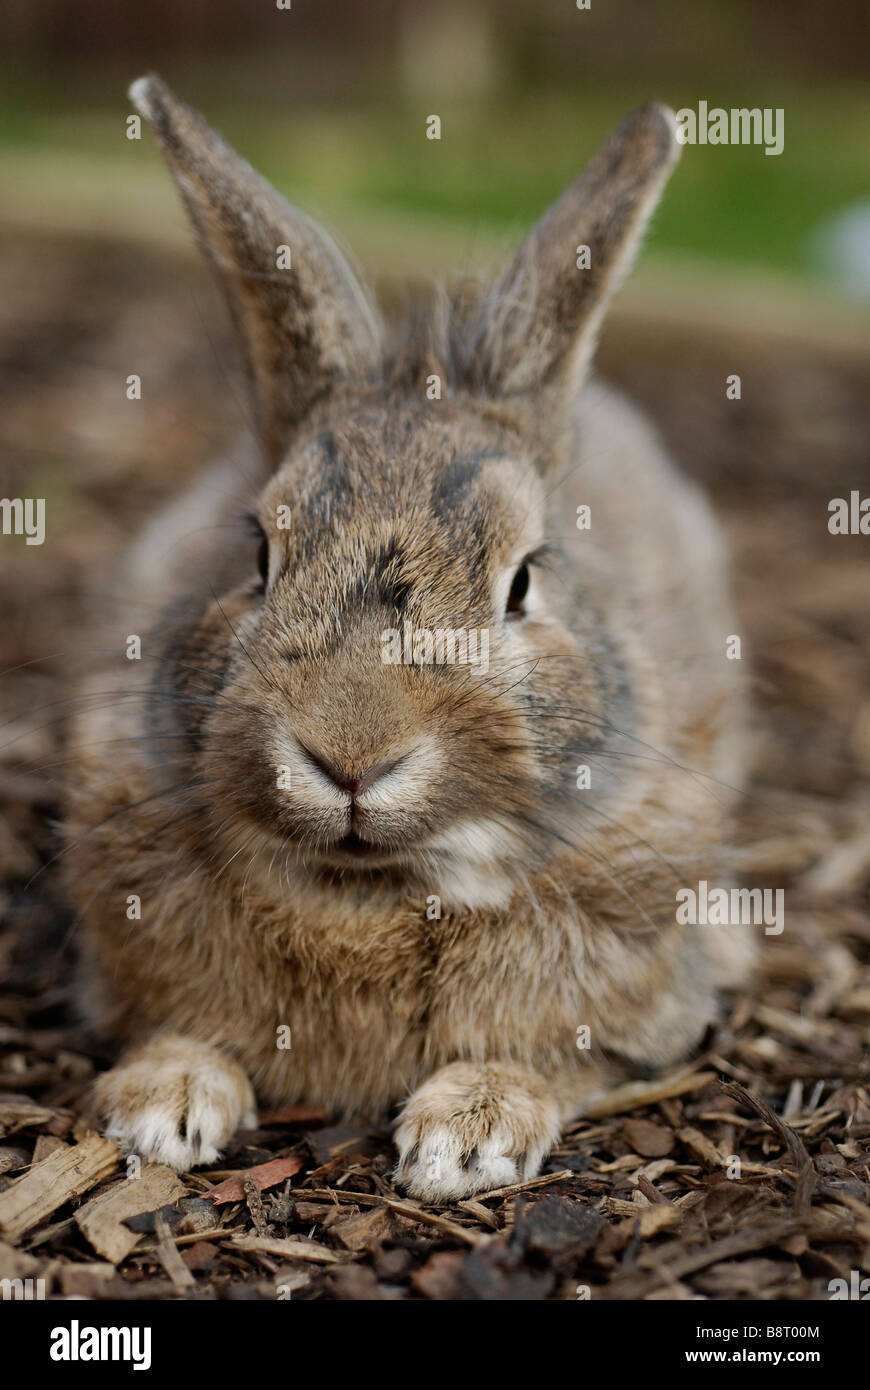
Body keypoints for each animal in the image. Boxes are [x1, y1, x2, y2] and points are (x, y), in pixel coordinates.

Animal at [64, 78, 750, 1206]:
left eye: (523, 580)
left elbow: (557, 1056)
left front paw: (471, 1133)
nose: (351, 755)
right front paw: (161, 1103)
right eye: (257, 553)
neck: (372, 897)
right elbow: (179, 1029)